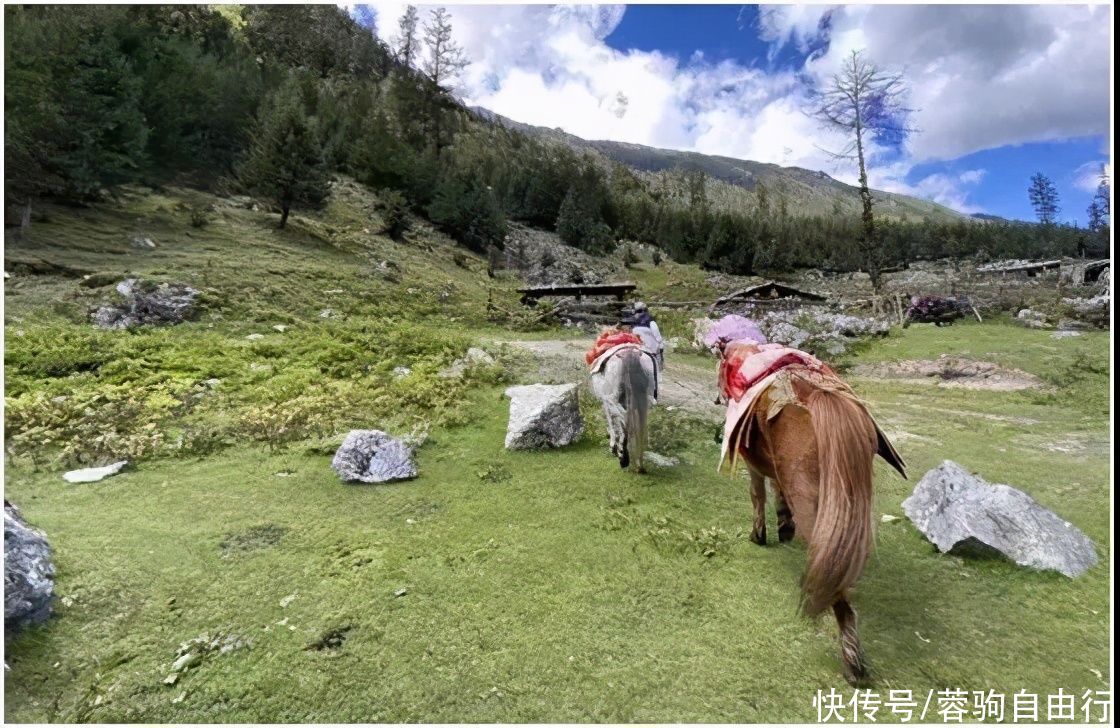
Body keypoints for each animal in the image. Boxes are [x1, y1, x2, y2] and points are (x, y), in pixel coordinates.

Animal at [716, 340, 909, 680]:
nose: (717, 398)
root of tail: (821, 397)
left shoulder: (754, 467)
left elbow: (758, 496)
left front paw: (759, 534)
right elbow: (778, 494)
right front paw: (784, 527)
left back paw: (852, 660)